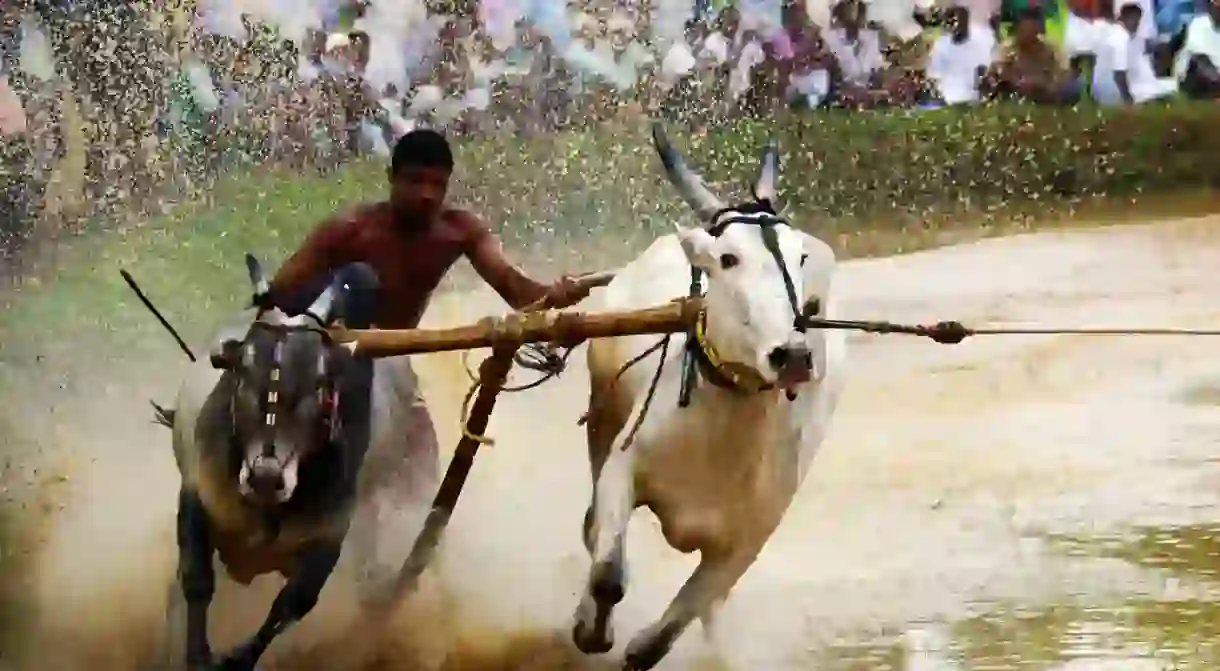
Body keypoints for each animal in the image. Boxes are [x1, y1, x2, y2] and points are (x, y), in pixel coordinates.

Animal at [152, 256, 439, 671]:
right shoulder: (196, 497)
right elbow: (195, 580)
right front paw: (196, 656)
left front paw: (236, 659)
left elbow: (291, 606)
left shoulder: (330, 538)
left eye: (320, 383)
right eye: (241, 371)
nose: (265, 477)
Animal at [570, 126, 849, 671]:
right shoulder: (621, 467)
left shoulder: (750, 537)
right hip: (601, 424)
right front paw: (589, 632)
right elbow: (608, 572)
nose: (793, 356)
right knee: (592, 533)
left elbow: (663, 635)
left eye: (800, 258)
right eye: (728, 258)